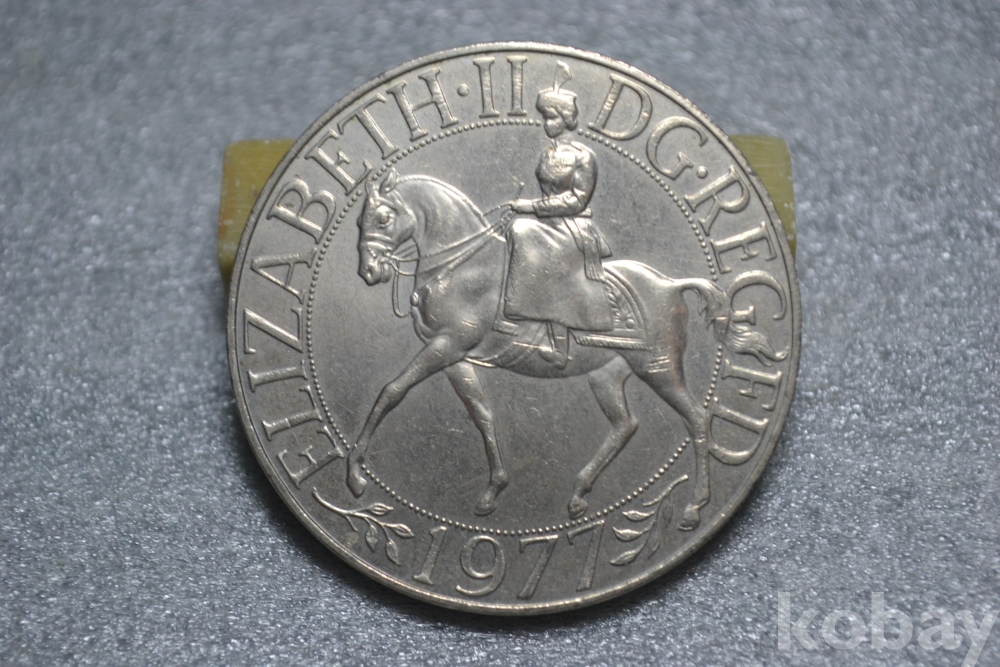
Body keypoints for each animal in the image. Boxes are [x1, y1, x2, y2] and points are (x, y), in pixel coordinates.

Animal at [347, 168, 785, 530]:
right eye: (359, 220)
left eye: (384, 218)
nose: (368, 272)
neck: (462, 265)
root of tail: (671, 285)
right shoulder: (455, 356)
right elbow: (482, 414)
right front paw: (493, 490)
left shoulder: (449, 344)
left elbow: (391, 391)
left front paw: (355, 473)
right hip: (607, 375)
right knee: (625, 424)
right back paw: (577, 495)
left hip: (660, 369)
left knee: (696, 419)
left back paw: (694, 507)